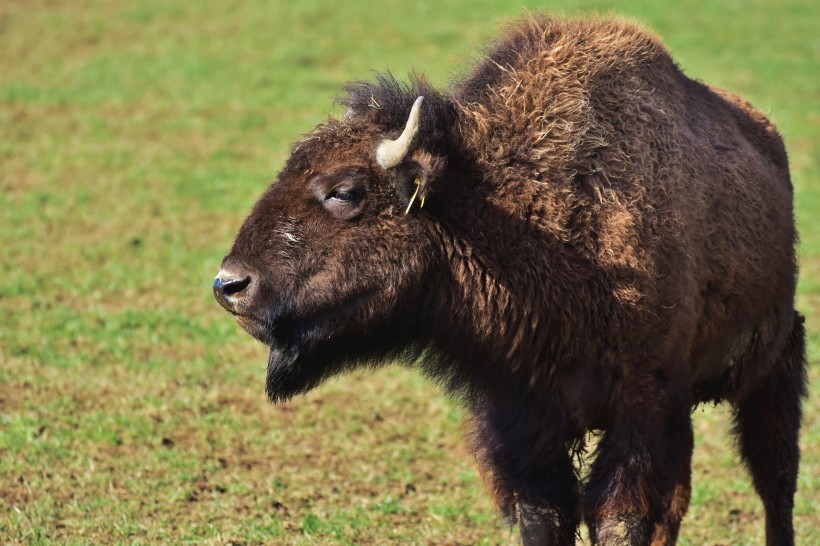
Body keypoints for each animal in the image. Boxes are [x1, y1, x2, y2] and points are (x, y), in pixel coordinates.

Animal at [213, 15, 808, 544]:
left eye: (345, 190)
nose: (230, 285)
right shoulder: (521, 418)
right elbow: (544, 518)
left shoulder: (643, 406)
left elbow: (622, 520)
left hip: (774, 360)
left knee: (774, 481)